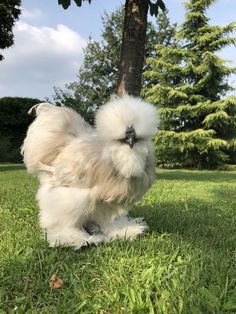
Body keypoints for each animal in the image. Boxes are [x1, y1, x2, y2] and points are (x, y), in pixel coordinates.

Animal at [21, 94, 158, 249]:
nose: (130, 142)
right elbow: (69, 224)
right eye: (122, 139)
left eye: (137, 138)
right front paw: (78, 239)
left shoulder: (107, 205)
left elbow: (106, 221)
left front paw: (122, 230)